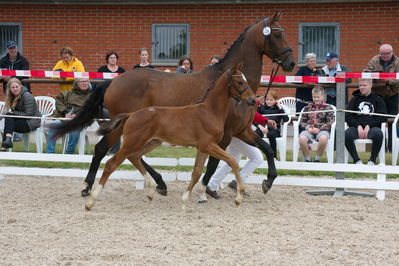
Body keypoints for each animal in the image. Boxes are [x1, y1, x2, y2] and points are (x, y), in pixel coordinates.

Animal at [86, 63, 258, 211]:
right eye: (240, 81)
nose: (253, 100)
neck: (209, 111)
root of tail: (130, 115)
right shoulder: (208, 145)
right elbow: (233, 161)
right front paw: (239, 197)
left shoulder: (202, 148)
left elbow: (196, 173)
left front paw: (184, 201)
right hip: (133, 143)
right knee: (111, 163)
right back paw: (90, 201)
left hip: (151, 142)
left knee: (134, 157)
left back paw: (151, 190)